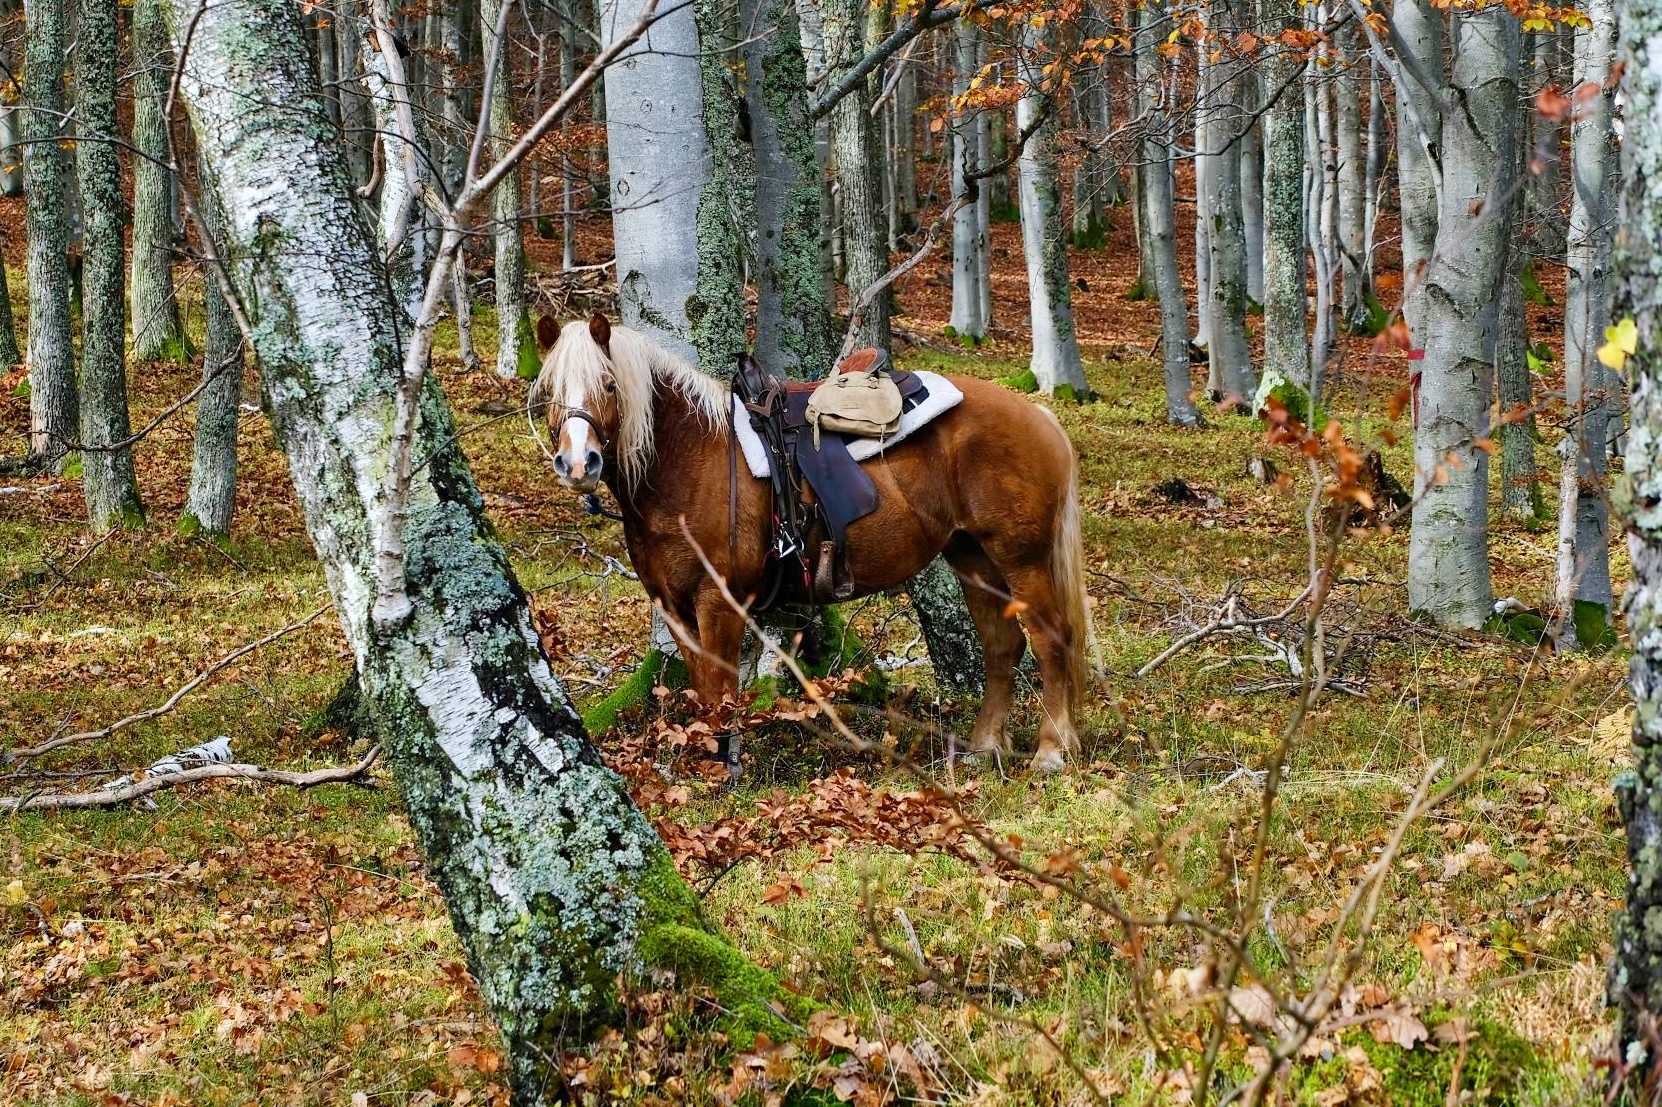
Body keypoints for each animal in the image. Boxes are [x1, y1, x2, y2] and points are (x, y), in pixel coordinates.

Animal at [538, 312, 1096, 767]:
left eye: (609, 385)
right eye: (548, 392)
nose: (578, 464)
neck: (689, 458)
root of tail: (1039, 417)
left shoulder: (720, 602)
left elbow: (720, 690)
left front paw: (723, 766)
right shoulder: (673, 606)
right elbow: (700, 684)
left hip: (1021, 558)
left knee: (1050, 639)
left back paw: (1051, 750)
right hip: (972, 557)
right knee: (1003, 645)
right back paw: (984, 746)